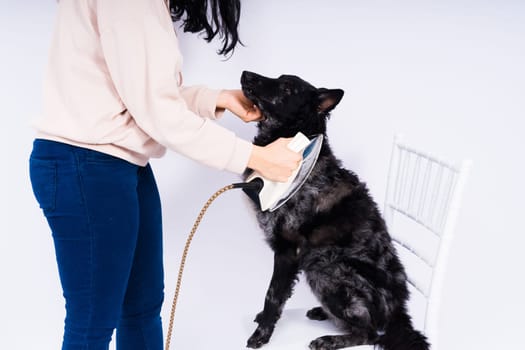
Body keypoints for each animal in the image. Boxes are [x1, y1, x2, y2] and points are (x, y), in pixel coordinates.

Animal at [239, 72, 428, 350]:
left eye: (286, 87)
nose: (245, 74)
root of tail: (398, 314)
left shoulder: (288, 251)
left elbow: (273, 295)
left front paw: (262, 333)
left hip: (326, 268)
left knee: (369, 333)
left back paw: (329, 339)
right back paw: (322, 313)